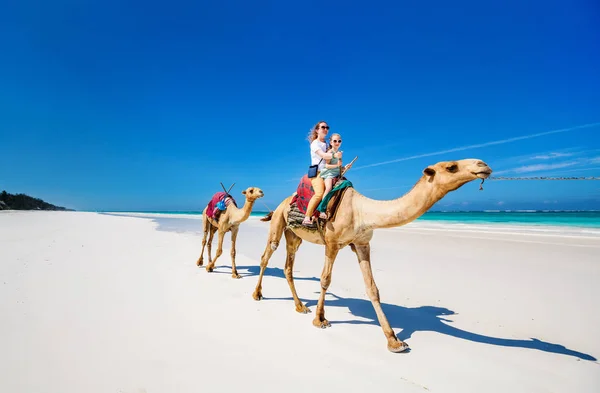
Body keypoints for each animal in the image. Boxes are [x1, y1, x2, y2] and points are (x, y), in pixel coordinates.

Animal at [253, 159, 492, 352]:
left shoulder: (362, 244)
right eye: (452, 167)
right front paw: (320, 319)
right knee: (267, 255)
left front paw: (394, 340)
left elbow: (372, 288)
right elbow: (325, 280)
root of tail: (282, 203)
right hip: (278, 223)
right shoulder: (332, 243)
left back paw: (300, 306)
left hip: (294, 236)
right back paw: (257, 294)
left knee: (288, 266)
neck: (361, 211)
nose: (483, 165)